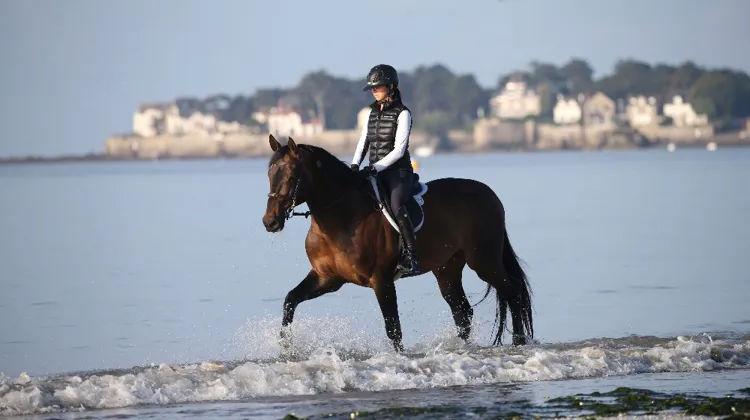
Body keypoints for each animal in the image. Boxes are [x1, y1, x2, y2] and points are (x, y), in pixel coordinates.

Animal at [261, 134, 534, 352]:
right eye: (269, 174)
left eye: (291, 176)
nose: (270, 222)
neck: (342, 217)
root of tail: (490, 195)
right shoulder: (327, 278)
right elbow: (290, 300)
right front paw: (285, 347)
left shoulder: (381, 280)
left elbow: (393, 328)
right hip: (447, 268)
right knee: (463, 311)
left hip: (484, 261)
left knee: (513, 289)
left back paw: (519, 341)